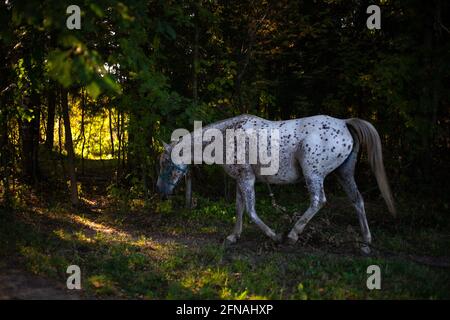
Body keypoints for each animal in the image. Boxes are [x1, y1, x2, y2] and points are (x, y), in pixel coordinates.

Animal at [156, 114, 396, 254]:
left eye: (165, 162)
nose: (160, 191)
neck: (227, 136)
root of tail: (345, 123)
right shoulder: (241, 180)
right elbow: (239, 208)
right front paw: (233, 237)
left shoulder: (247, 179)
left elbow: (251, 212)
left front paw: (275, 236)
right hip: (344, 174)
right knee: (358, 201)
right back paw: (365, 244)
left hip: (314, 174)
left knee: (319, 201)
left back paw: (292, 235)